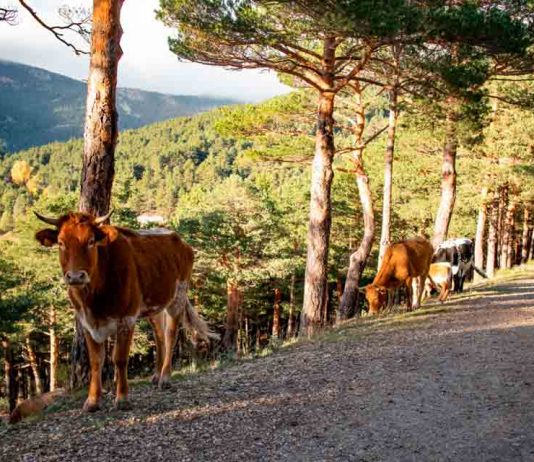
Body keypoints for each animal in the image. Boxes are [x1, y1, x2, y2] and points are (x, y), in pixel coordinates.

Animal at [35, 210, 218, 412]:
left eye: (91, 241)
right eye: (60, 242)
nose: (76, 276)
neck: (94, 299)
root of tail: (180, 240)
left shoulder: (126, 318)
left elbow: (120, 358)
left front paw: (122, 398)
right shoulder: (86, 323)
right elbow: (96, 361)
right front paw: (92, 400)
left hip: (178, 296)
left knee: (170, 335)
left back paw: (165, 377)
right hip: (154, 306)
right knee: (159, 336)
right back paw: (156, 375)